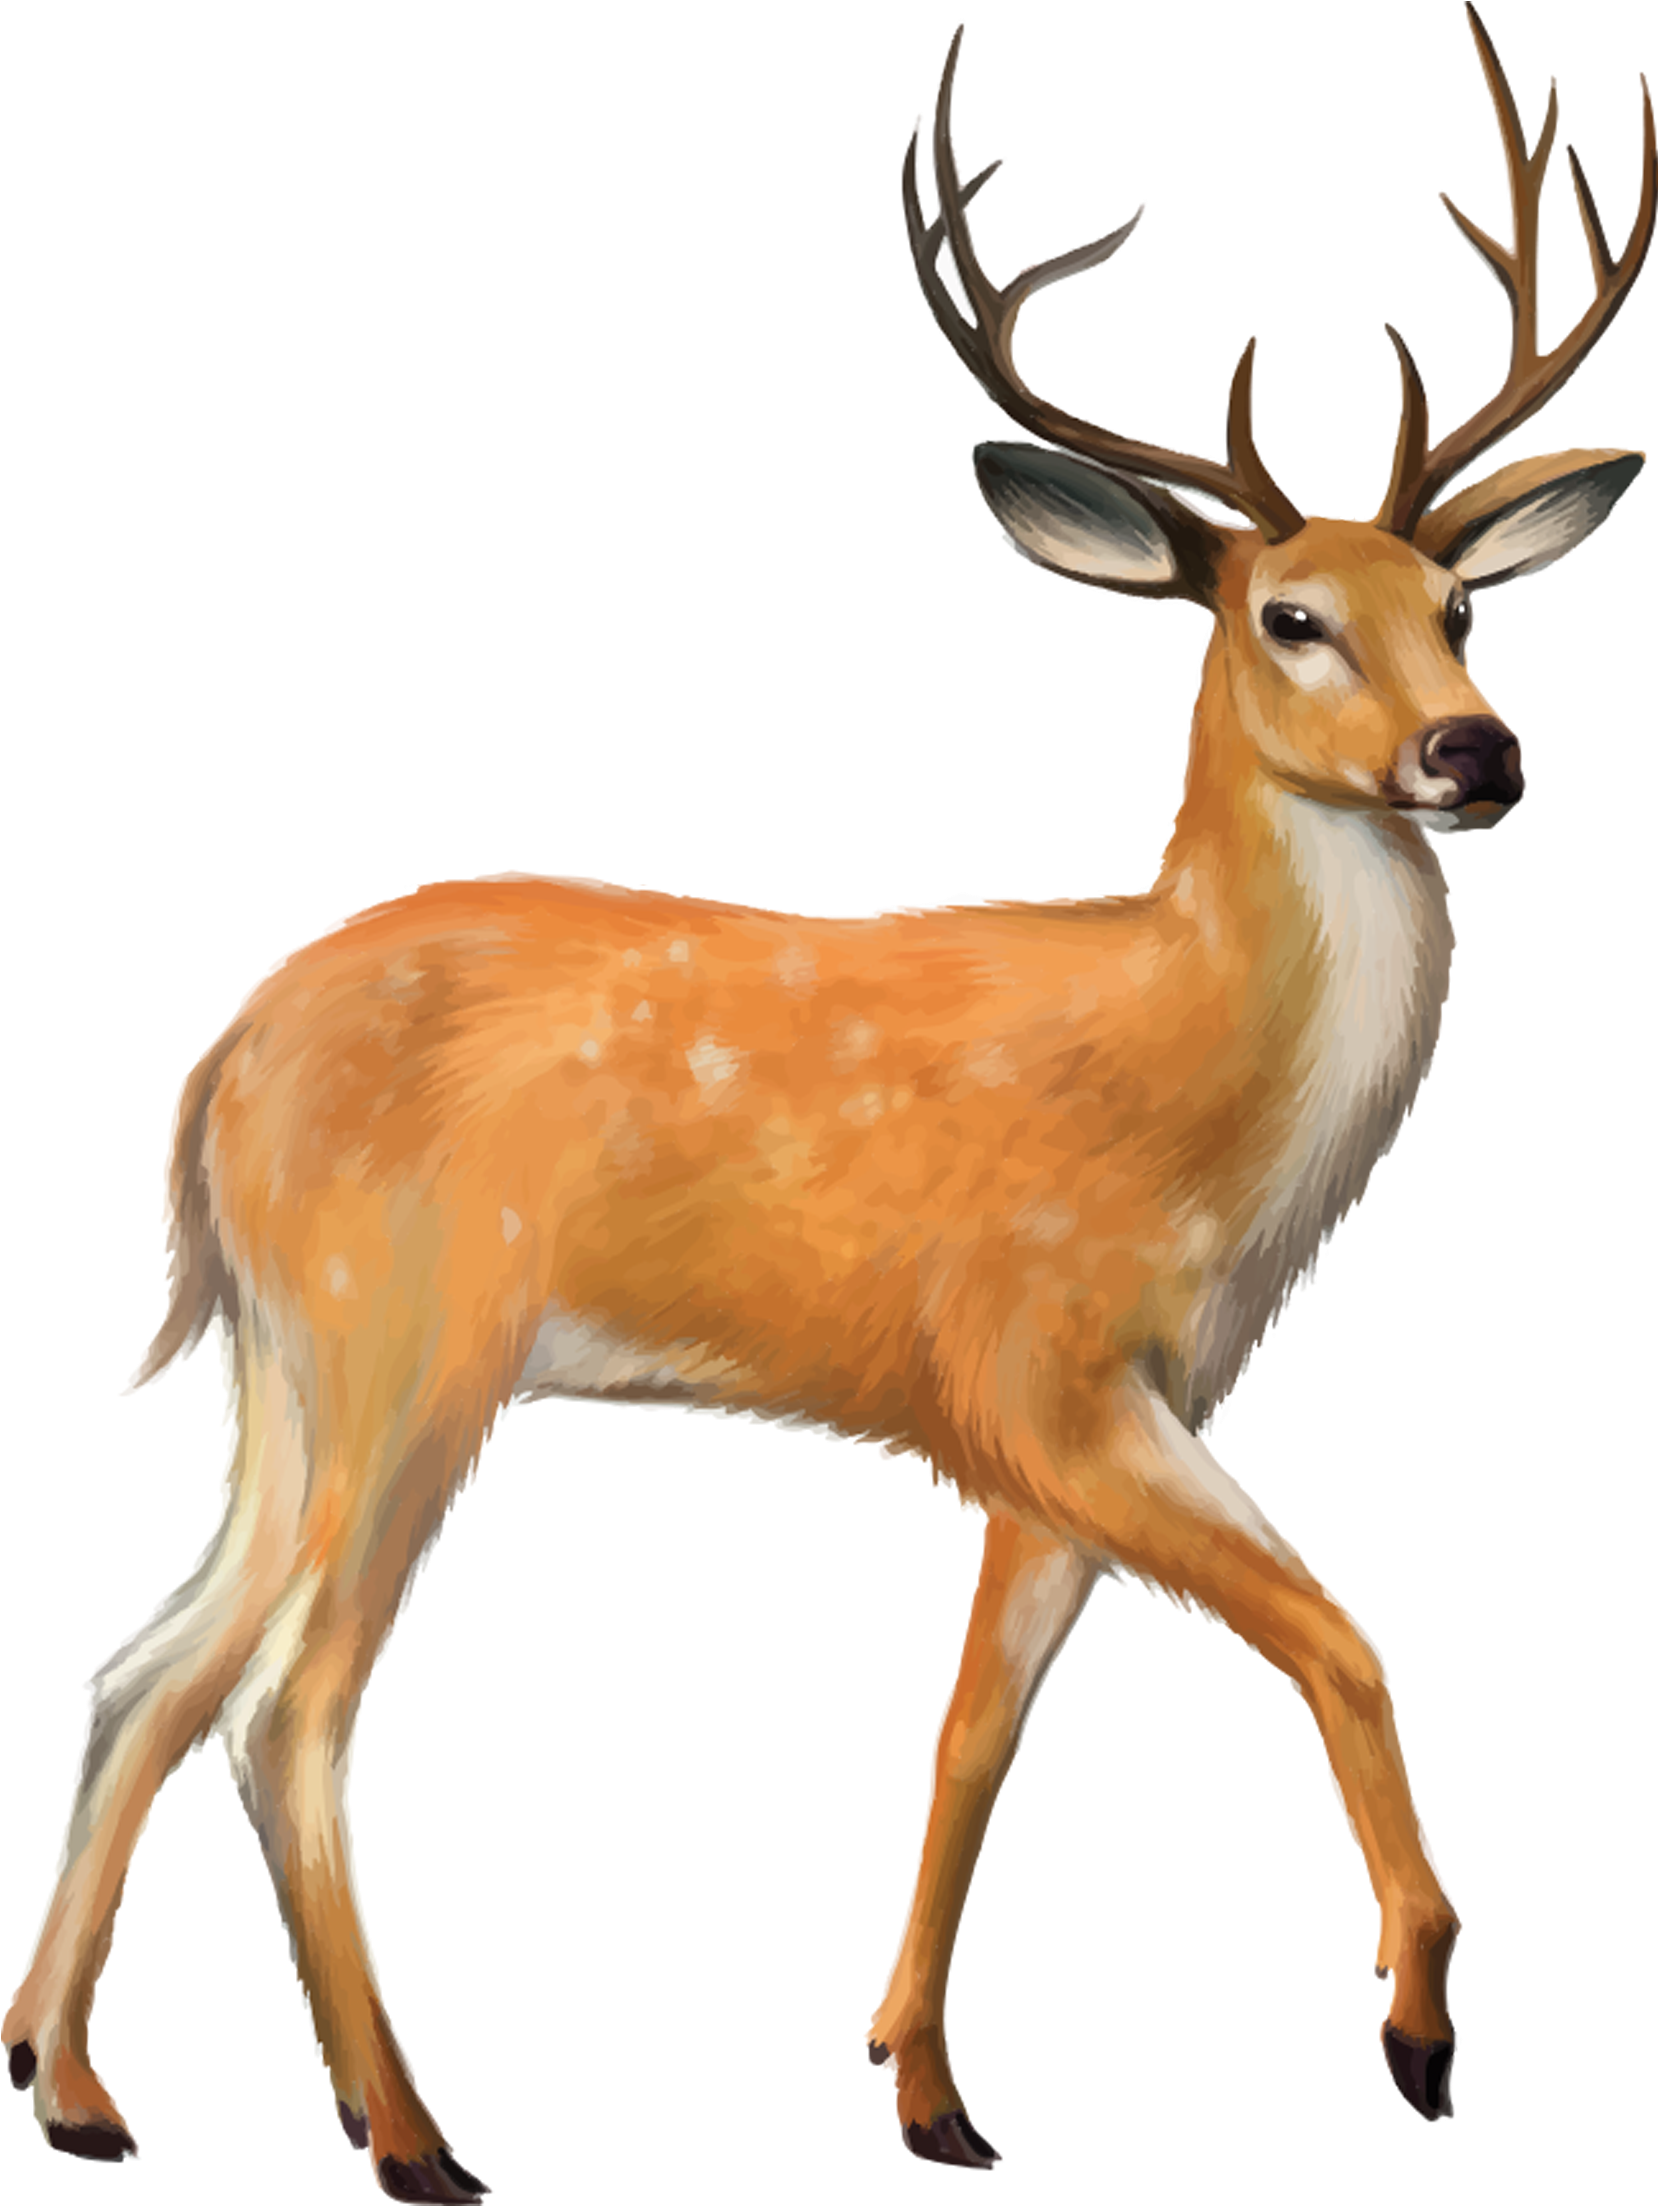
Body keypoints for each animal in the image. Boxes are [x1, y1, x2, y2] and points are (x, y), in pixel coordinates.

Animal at [5, 5, 1651, 2193]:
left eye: (1456, 610)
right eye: (1288, 616)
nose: (1477, 754)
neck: (1200, 1097)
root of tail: (207, 1086)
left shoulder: (1101, 1410)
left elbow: (972, 1724)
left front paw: (932, 2089)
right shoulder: (1029, 1362)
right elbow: (1338, 1632)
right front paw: (1413, 2028)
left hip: (283, 1360)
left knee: (146, 1665)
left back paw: (71, 2084)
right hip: (410, 1335)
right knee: (290, 1697)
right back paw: (409, 2133)